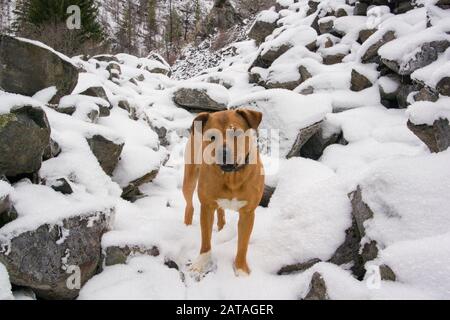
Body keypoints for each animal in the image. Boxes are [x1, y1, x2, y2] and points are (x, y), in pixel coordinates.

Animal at [182, 109, 264, 276]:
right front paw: (201, 263)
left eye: (236, 132)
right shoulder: (206, 207)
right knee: (189, 205)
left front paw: (241, 269)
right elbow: (206, 239)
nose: (223, 152)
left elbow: (243, 244)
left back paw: (221, 226)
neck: (231, 176)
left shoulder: (248, 213)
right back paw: (186, 226)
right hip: (189, 179)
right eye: (212, 137)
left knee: (220, 211)